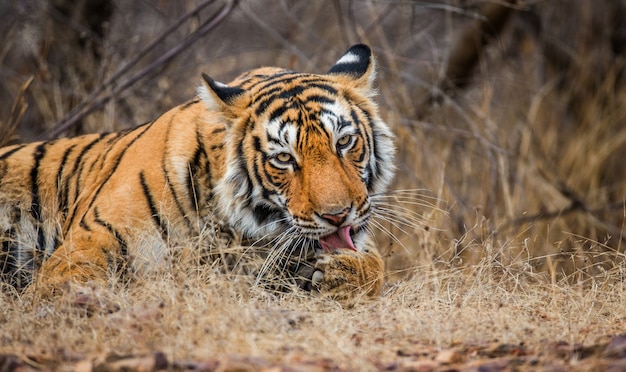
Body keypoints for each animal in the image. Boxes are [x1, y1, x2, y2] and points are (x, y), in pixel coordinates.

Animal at [0, 44, 394, 302]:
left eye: (344, 141)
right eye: (283, 158)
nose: (337, 215)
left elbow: (375, 264)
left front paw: (340, 272)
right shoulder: (89, 240)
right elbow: (68, 283)